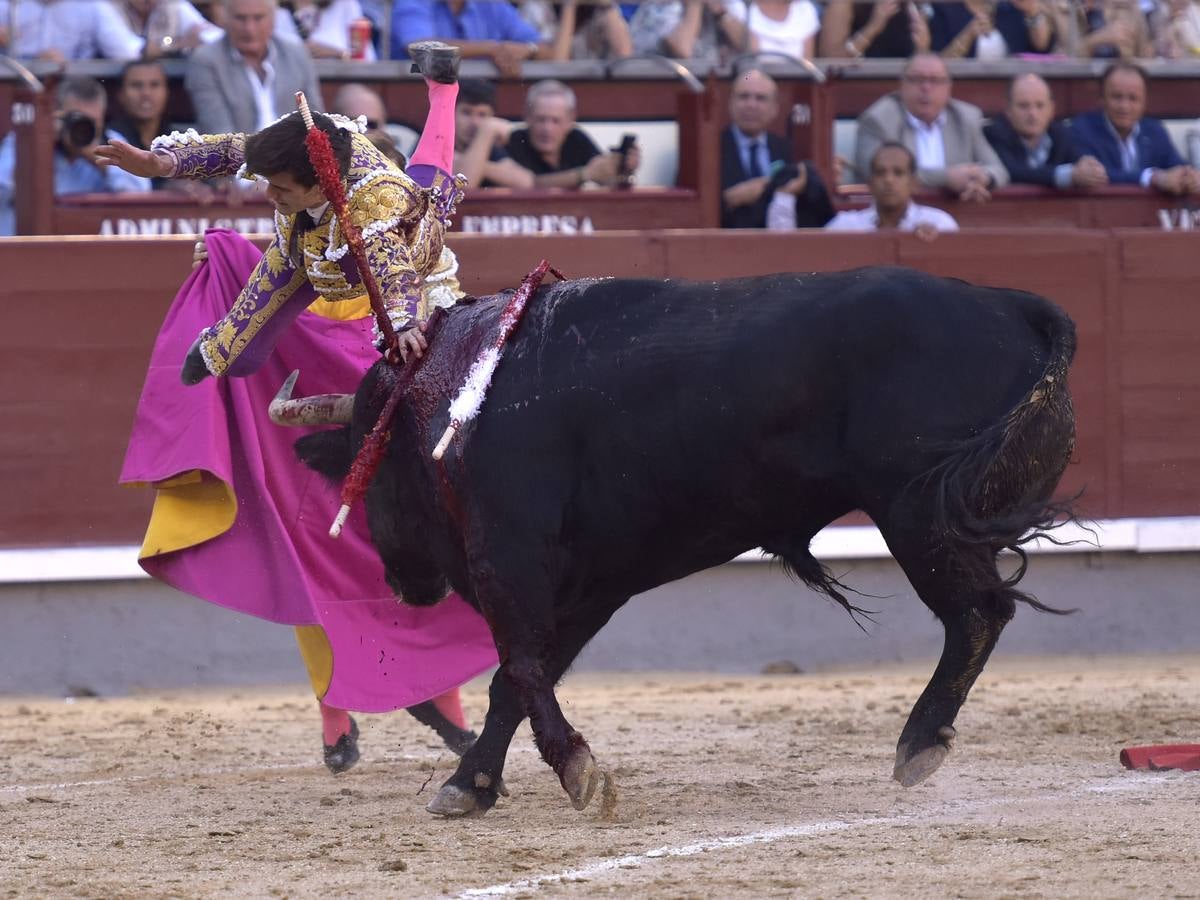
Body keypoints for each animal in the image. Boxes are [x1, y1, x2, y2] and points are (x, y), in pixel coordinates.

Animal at [292, 266, 1080, 816]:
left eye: (366, 462)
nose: (403, 585)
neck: (461, 399)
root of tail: (1011, 303)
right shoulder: (591, 585)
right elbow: (516, 680)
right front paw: (471, 783)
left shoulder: (508, 561)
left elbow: (518, 667)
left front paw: (576, 774)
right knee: (982, 612)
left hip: (919, 514)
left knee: (978, 613)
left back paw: (918, 744)